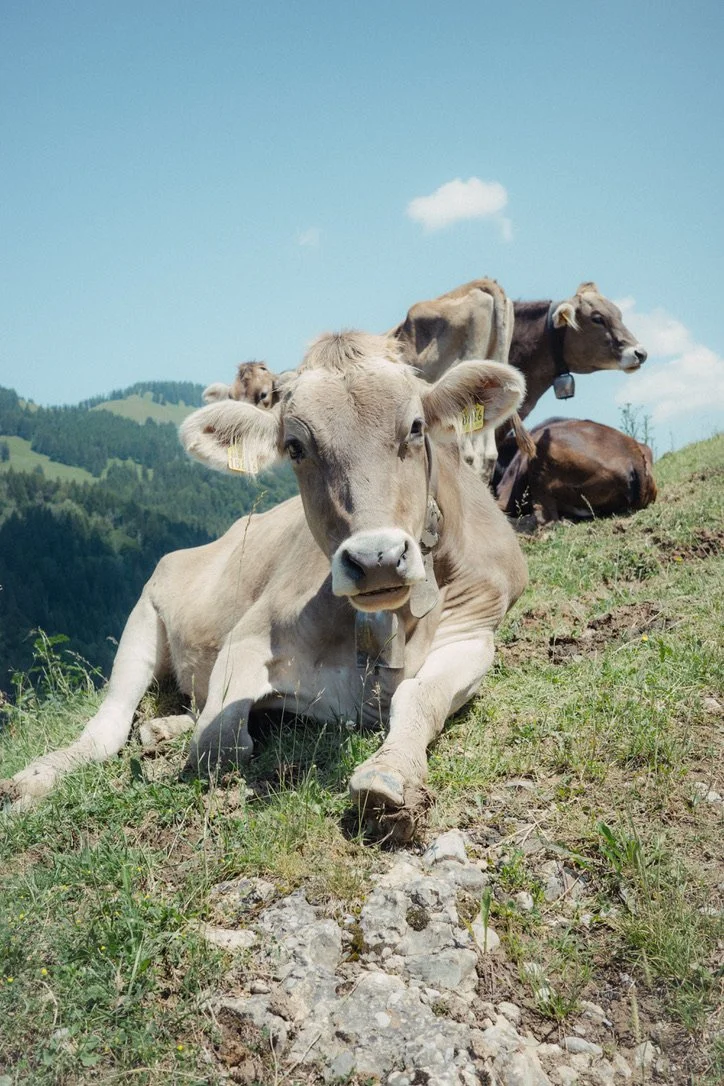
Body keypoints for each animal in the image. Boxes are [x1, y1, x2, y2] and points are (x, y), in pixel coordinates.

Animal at [3, 332, 528, 839]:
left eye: (416, 427)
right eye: (295, 447)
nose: (375, 558)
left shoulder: (472, 633)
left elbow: (419, 699)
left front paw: (389, 776)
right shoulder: (250, 634)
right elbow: (218, 743)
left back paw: (160, 729)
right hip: (143, 615)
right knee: (109, 723)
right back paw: (37, 778)